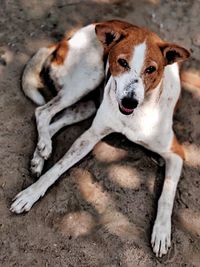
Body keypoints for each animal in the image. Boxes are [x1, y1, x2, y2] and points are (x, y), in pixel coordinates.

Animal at [10, 19, 190, 258]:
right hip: (88, 78)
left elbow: (167, 194)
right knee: (43, 112)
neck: (135, 115)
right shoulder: (90, 136)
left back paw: (41, 153)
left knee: (54, 121)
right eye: (122, 62)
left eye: (151, 69)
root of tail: (66, 38)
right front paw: (31, 194)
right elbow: (58, 168)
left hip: (89, 105)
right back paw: (44, 149)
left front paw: (161, 232)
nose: (130, 101)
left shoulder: (175, 153)